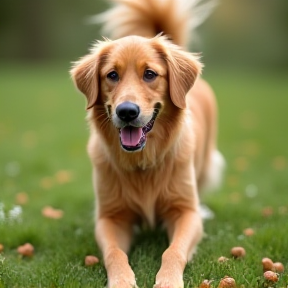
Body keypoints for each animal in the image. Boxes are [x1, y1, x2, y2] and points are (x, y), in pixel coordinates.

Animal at [71, 0, 224, 288]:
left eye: (150, 74)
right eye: (112, 75)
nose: (127, 112)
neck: (142, 162)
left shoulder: (185, 212)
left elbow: (173, 251)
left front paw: (168, 280)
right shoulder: (111, 217)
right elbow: (114, 252)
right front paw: (121, 280)